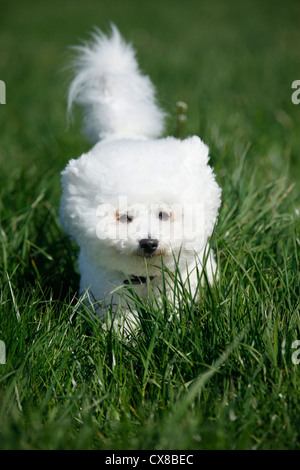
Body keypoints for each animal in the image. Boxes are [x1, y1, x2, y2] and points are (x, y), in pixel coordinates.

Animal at [59, 24, 221, 326]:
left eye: (163, 214)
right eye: (124, 217)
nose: (148, 242)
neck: (144, 278)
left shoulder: (181, 284)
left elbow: (174, 310)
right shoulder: (108, 293)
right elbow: (119, 320)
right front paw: (122, 335)